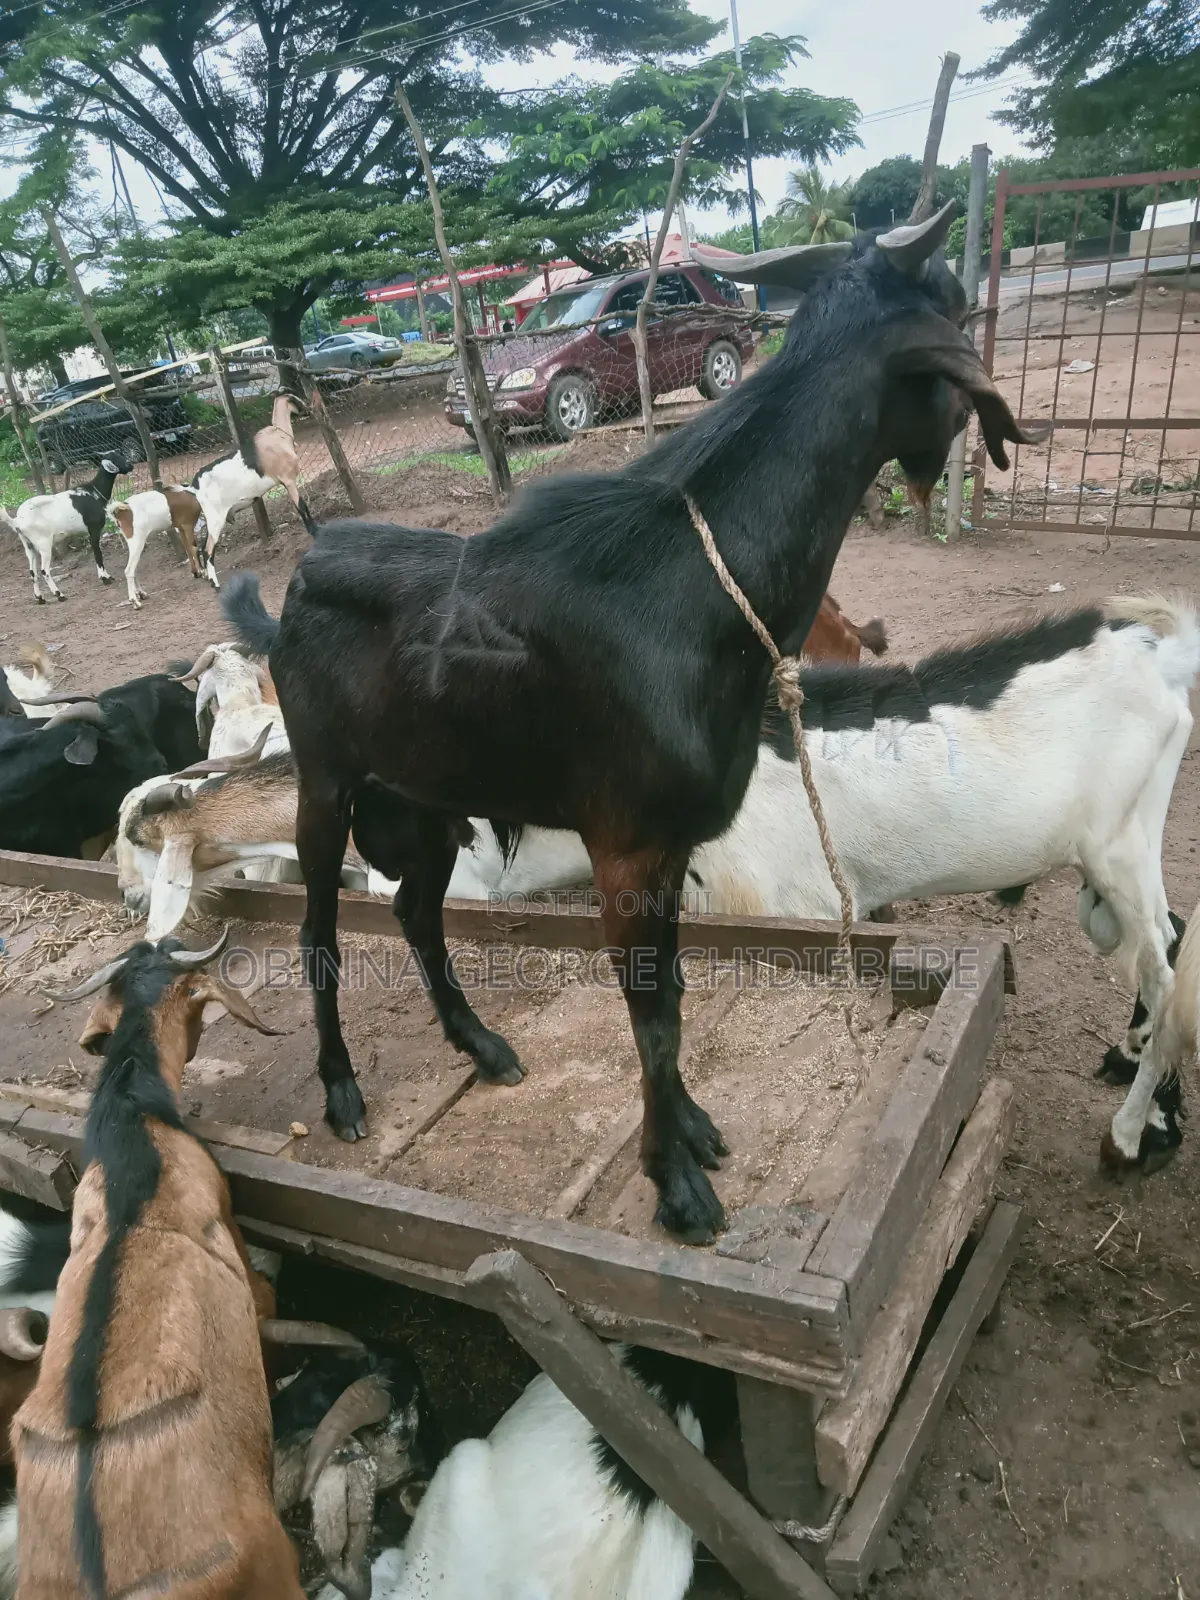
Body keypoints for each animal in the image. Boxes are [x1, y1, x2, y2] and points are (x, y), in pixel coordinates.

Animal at [11, 455, 128, 603]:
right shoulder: (94, 529)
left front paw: (107, 576)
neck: (93, 492)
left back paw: (40, 598)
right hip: (43, 543)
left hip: (28, 545)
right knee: (44, 570)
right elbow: (98, 554)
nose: (131, 466)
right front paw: (105, 578)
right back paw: (59, 595)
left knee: (32, 572)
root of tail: (18, 520)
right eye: (118, 458)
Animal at [193, 396, 314, 589]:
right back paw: (215, 583)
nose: (308, 408)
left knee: (203, 545)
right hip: (216, 516)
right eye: (297, 397)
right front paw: (315, 531)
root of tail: (194, 483)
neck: (278, 436)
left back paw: (206, 576)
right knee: (208, 548)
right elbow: (302, 507)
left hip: (211, 519)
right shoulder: (289, 481)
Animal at [220, 202, 1032, 1242]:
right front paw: (675, 1184)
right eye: (956, 304)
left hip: (428, 799)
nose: (960, 442)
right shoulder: (627, 844)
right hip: (324, 787)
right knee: (320, 933)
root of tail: (289, 600)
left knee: (415, 913)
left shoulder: (673, 845)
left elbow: (674, 996)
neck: (702, 591)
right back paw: (341, 1090)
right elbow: (651, 1016)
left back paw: (482, 1044)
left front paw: (691, 1131)